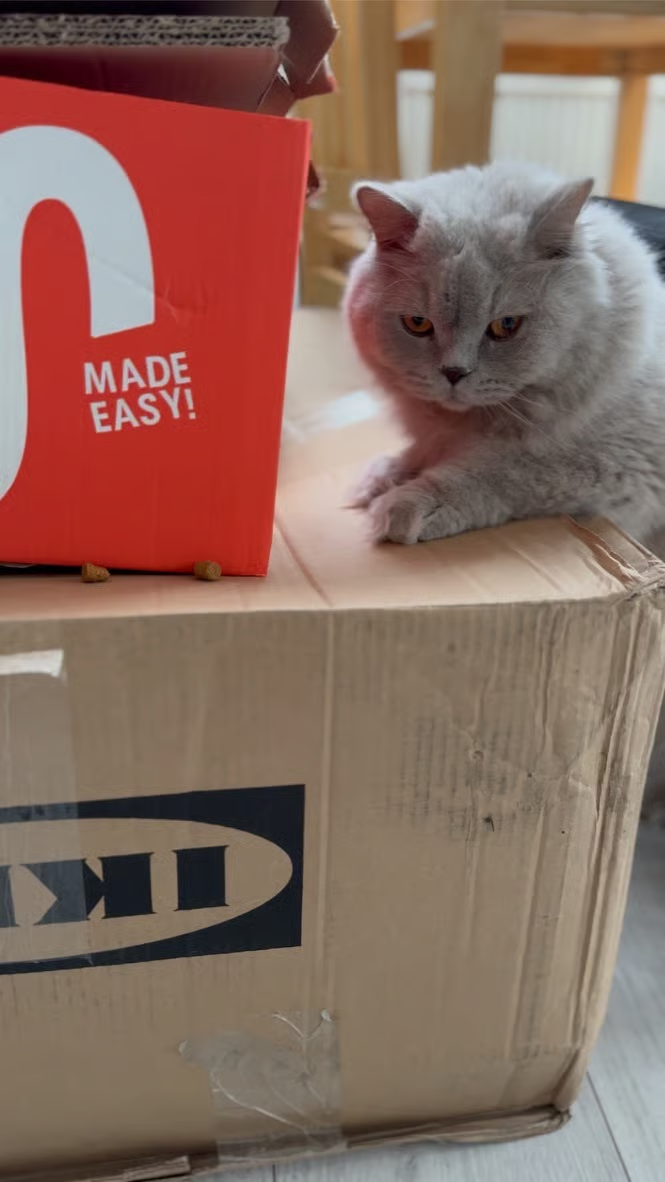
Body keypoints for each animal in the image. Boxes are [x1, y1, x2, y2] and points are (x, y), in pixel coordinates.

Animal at [344, 161, 665, 551]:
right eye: (417, 324)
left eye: (506, 326)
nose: (454, 373)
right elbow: (422, 450)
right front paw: (378, 480)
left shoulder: (620, 465)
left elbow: (498, 471)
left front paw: (406, 505)